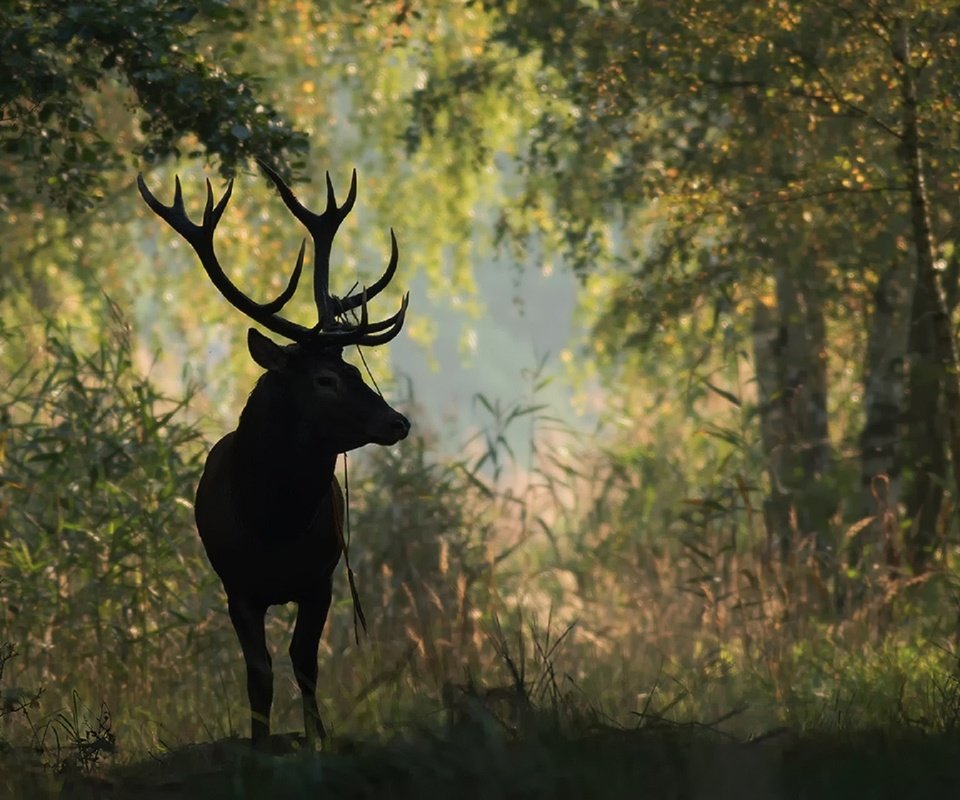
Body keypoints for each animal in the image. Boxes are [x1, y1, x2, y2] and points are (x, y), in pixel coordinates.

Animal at [137, 162, 406, 752]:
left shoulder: (320, 578)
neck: (271, 524)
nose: (399, 421)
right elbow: (258, 673)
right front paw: (259, 746)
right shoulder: (237, 587)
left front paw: (316, 740)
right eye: (326, 379)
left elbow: (304, 662)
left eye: (353, 369)